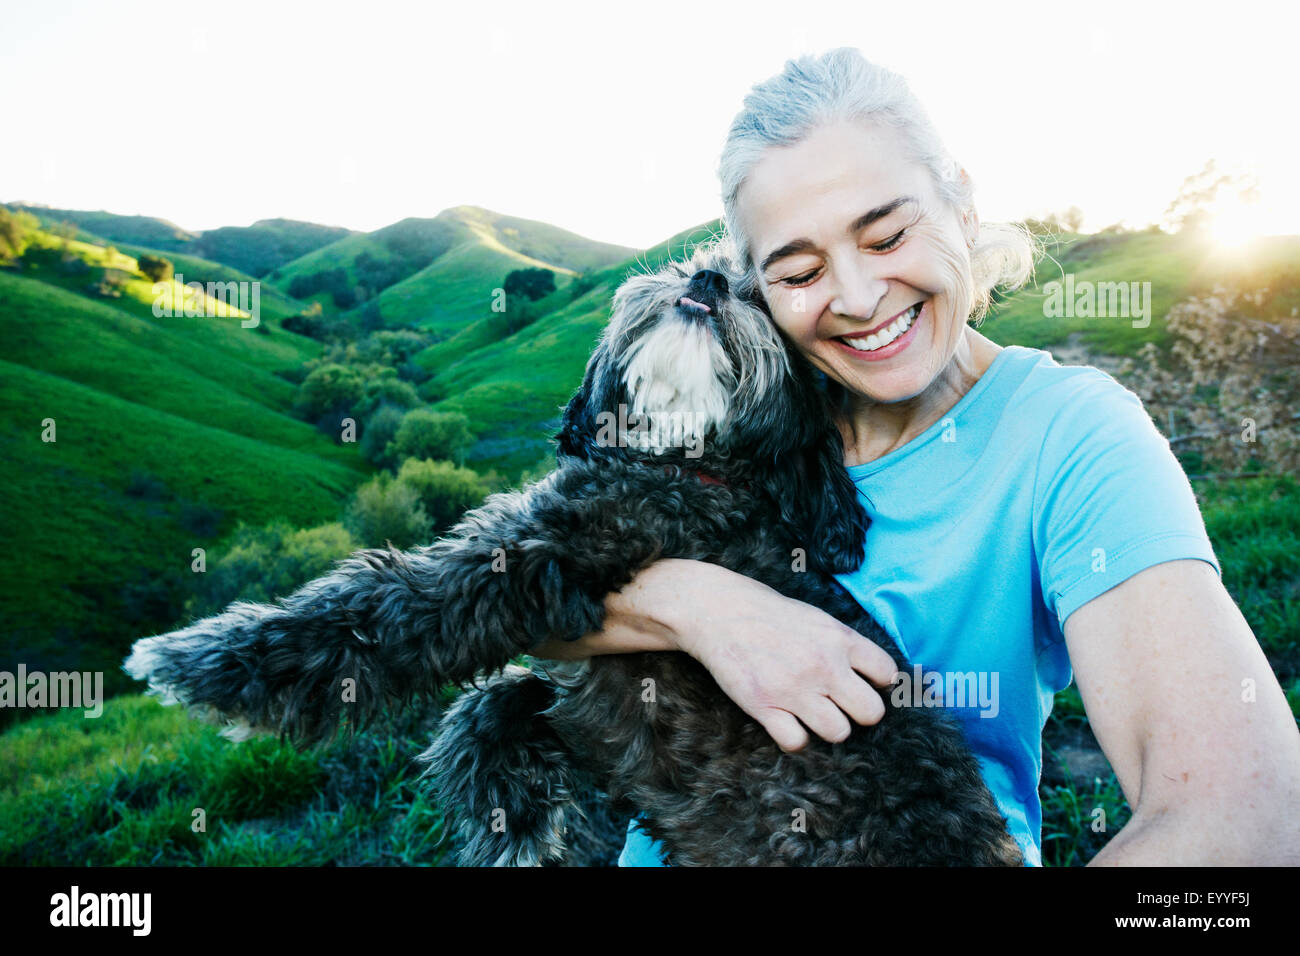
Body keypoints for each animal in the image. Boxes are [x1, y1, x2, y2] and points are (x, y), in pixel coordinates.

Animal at [129, 238, 1024, 868]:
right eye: (692, 263)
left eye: (758, 295)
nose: (708, 282)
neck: (687, 463)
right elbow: (493, 706)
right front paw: (518, 823)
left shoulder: (539, 559)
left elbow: (383, 608)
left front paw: (207, 664)